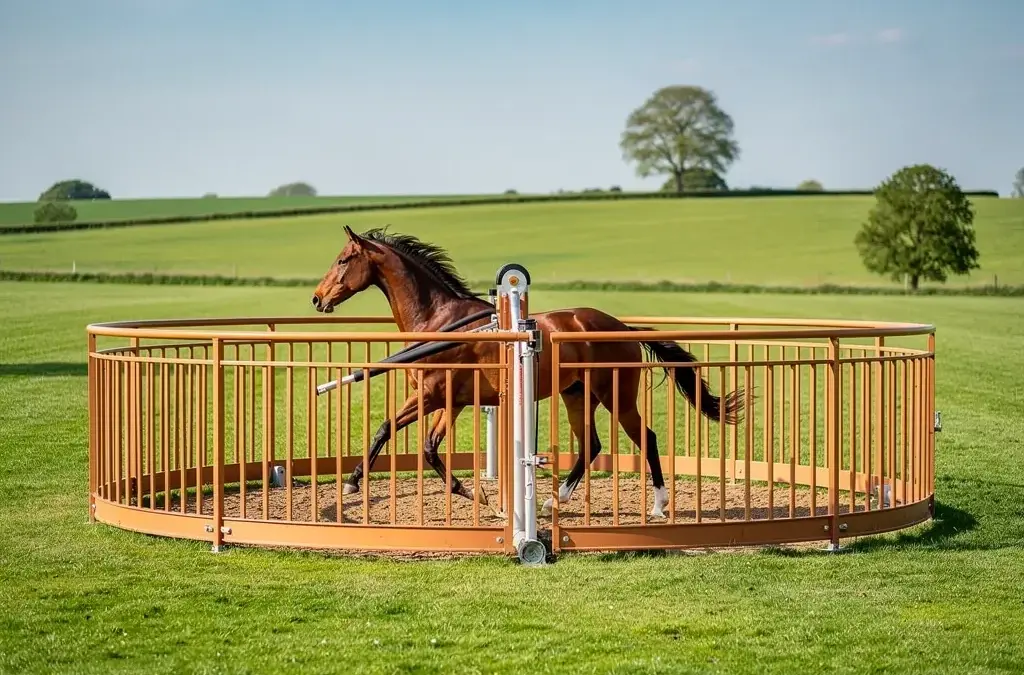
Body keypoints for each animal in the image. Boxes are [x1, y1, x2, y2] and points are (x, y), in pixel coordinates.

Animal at [310, 225, 745, 518]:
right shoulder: (449, 402)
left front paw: (351, 482)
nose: (316, 298)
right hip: (576, 395)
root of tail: (623, 328)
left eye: (343, 260)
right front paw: (476, 494)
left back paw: (657, 505)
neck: (439, 321)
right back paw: (557, 499)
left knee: (647, 439)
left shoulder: (431, 396)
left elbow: (389, 430)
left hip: (617, 396)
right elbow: (425, 446)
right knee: (591, 445)